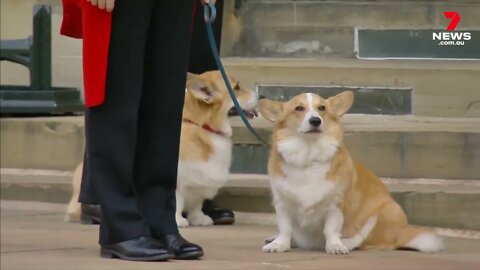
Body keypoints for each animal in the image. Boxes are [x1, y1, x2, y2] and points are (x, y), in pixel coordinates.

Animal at [66, 70, 258, 227]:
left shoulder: (198, 181)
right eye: (237, 87)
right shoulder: (177, 180)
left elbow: (197, 204)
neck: (201, 125)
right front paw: (178, 220)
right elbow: (177, 201)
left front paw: (199, 218)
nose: (259, 95)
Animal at [258, 92, 442, 254]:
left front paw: (335, 245)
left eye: (322, 108)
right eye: (298, 108)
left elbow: (331, 230)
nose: (315, 120)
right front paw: (279, 244)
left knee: (364, 240)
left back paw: (345, 242)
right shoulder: (282, 204)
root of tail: (401, 234)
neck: (309, 155)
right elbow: (285, 229)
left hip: (388, 210)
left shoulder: (335, 205)